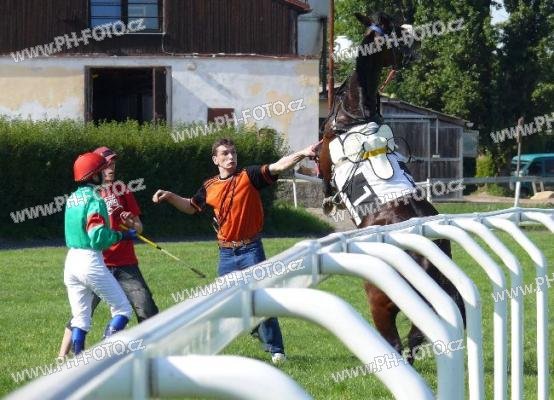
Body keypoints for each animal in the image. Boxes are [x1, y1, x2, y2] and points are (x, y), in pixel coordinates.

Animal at [317, 11, 466, 362]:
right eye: (397, 29)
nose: (418, 37)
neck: (356, 113)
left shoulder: (323, 160)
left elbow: (325, 181)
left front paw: (331, 203)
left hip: (380, 303)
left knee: (397, 346)